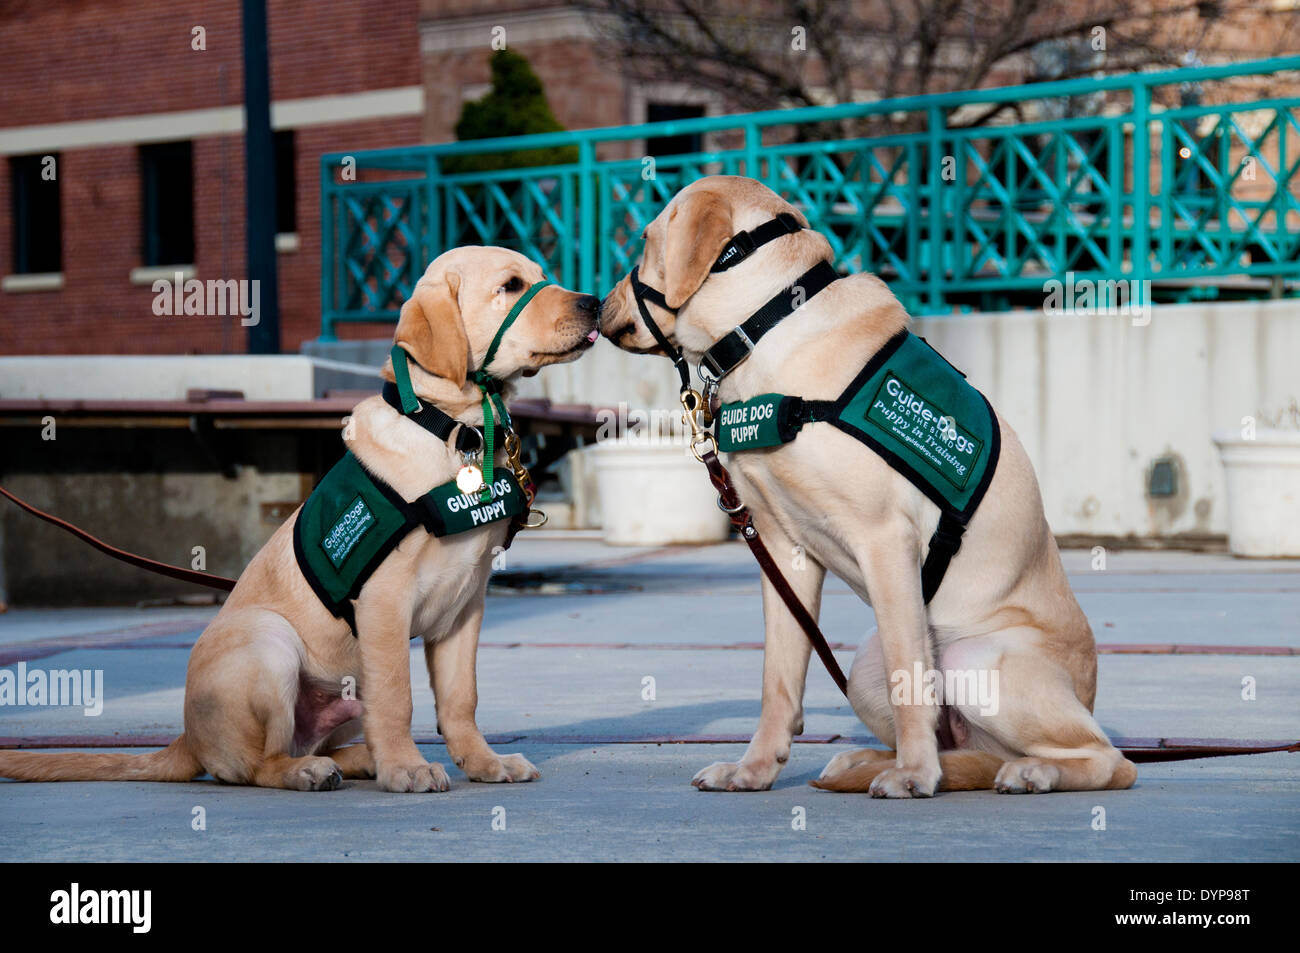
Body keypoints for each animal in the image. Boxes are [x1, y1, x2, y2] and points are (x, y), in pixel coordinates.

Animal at [0, 243, 598, 790]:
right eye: (511, 286)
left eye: (541, 277)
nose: (593, 303)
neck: (455, 428)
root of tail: (189, 739)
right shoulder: (385, 602)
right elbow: (398, 696)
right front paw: (406, 769)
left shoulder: (464, 606)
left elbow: (460, 700)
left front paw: (483, 762)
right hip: (271, 643)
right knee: (255, 765)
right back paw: (309, 771)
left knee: (322, 739)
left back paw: (356, 760)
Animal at [600, 176, 1138, 795]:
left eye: (646, 240)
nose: (598, 303)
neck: (768, 326)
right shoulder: (783, 551)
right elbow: (777, 680)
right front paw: (754, 769)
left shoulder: (885, 539)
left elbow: (910, 676)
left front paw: (914, 774)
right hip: (863, 668)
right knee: (963, 747)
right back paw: (871, 762)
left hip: (974, 659)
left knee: (1107, 758)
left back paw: (1028, 771)